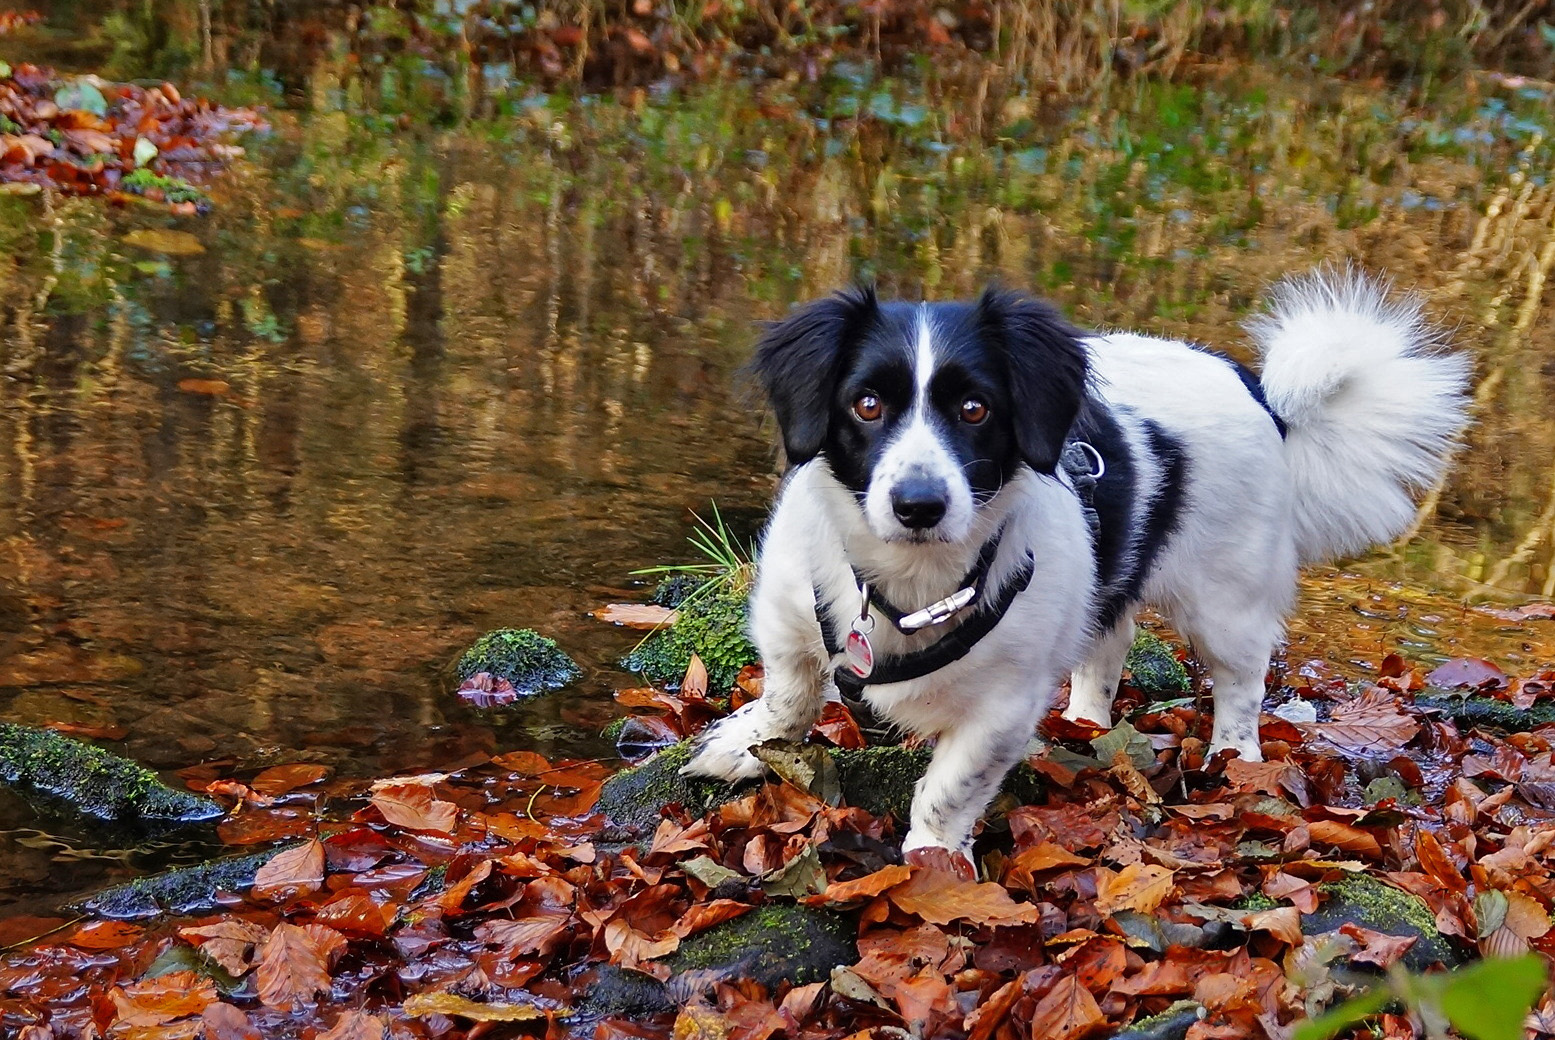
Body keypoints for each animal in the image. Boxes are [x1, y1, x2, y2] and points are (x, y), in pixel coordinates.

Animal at [681, 267, 1467, 858]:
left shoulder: (1001, 708)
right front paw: (744, 745)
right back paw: (1087, 722)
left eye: (974, 409)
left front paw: (931, 861)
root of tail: (1259, 391)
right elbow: (789, 696)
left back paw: (1234, 758)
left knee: (1242, 683)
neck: (910, 583)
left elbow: (948, 789)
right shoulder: (788, 619)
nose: (918, 504)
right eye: (867, 404)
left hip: (1227, 603)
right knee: (1107, 644)